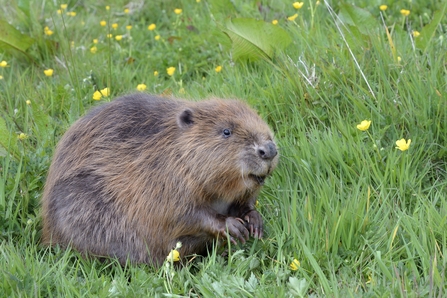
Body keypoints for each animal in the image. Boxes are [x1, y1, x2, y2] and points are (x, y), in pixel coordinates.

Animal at [43, 93, 280, 266]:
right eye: (226, 131)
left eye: (257, 118)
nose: (269, 150)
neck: (173, 149)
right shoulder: (161, 179)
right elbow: (181, 214)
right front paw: (234, 227)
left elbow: (244, 202)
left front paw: (254, 221)